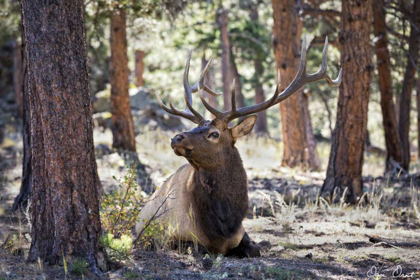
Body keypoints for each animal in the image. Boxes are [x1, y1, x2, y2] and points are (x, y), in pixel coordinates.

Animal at [136, 37, 340, 258]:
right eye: (195, 127)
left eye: (214, 133)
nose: (176, 138)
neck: (223, 224)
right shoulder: (172, 236)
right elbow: (199, 248)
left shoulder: (242, 234)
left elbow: (255, 249)